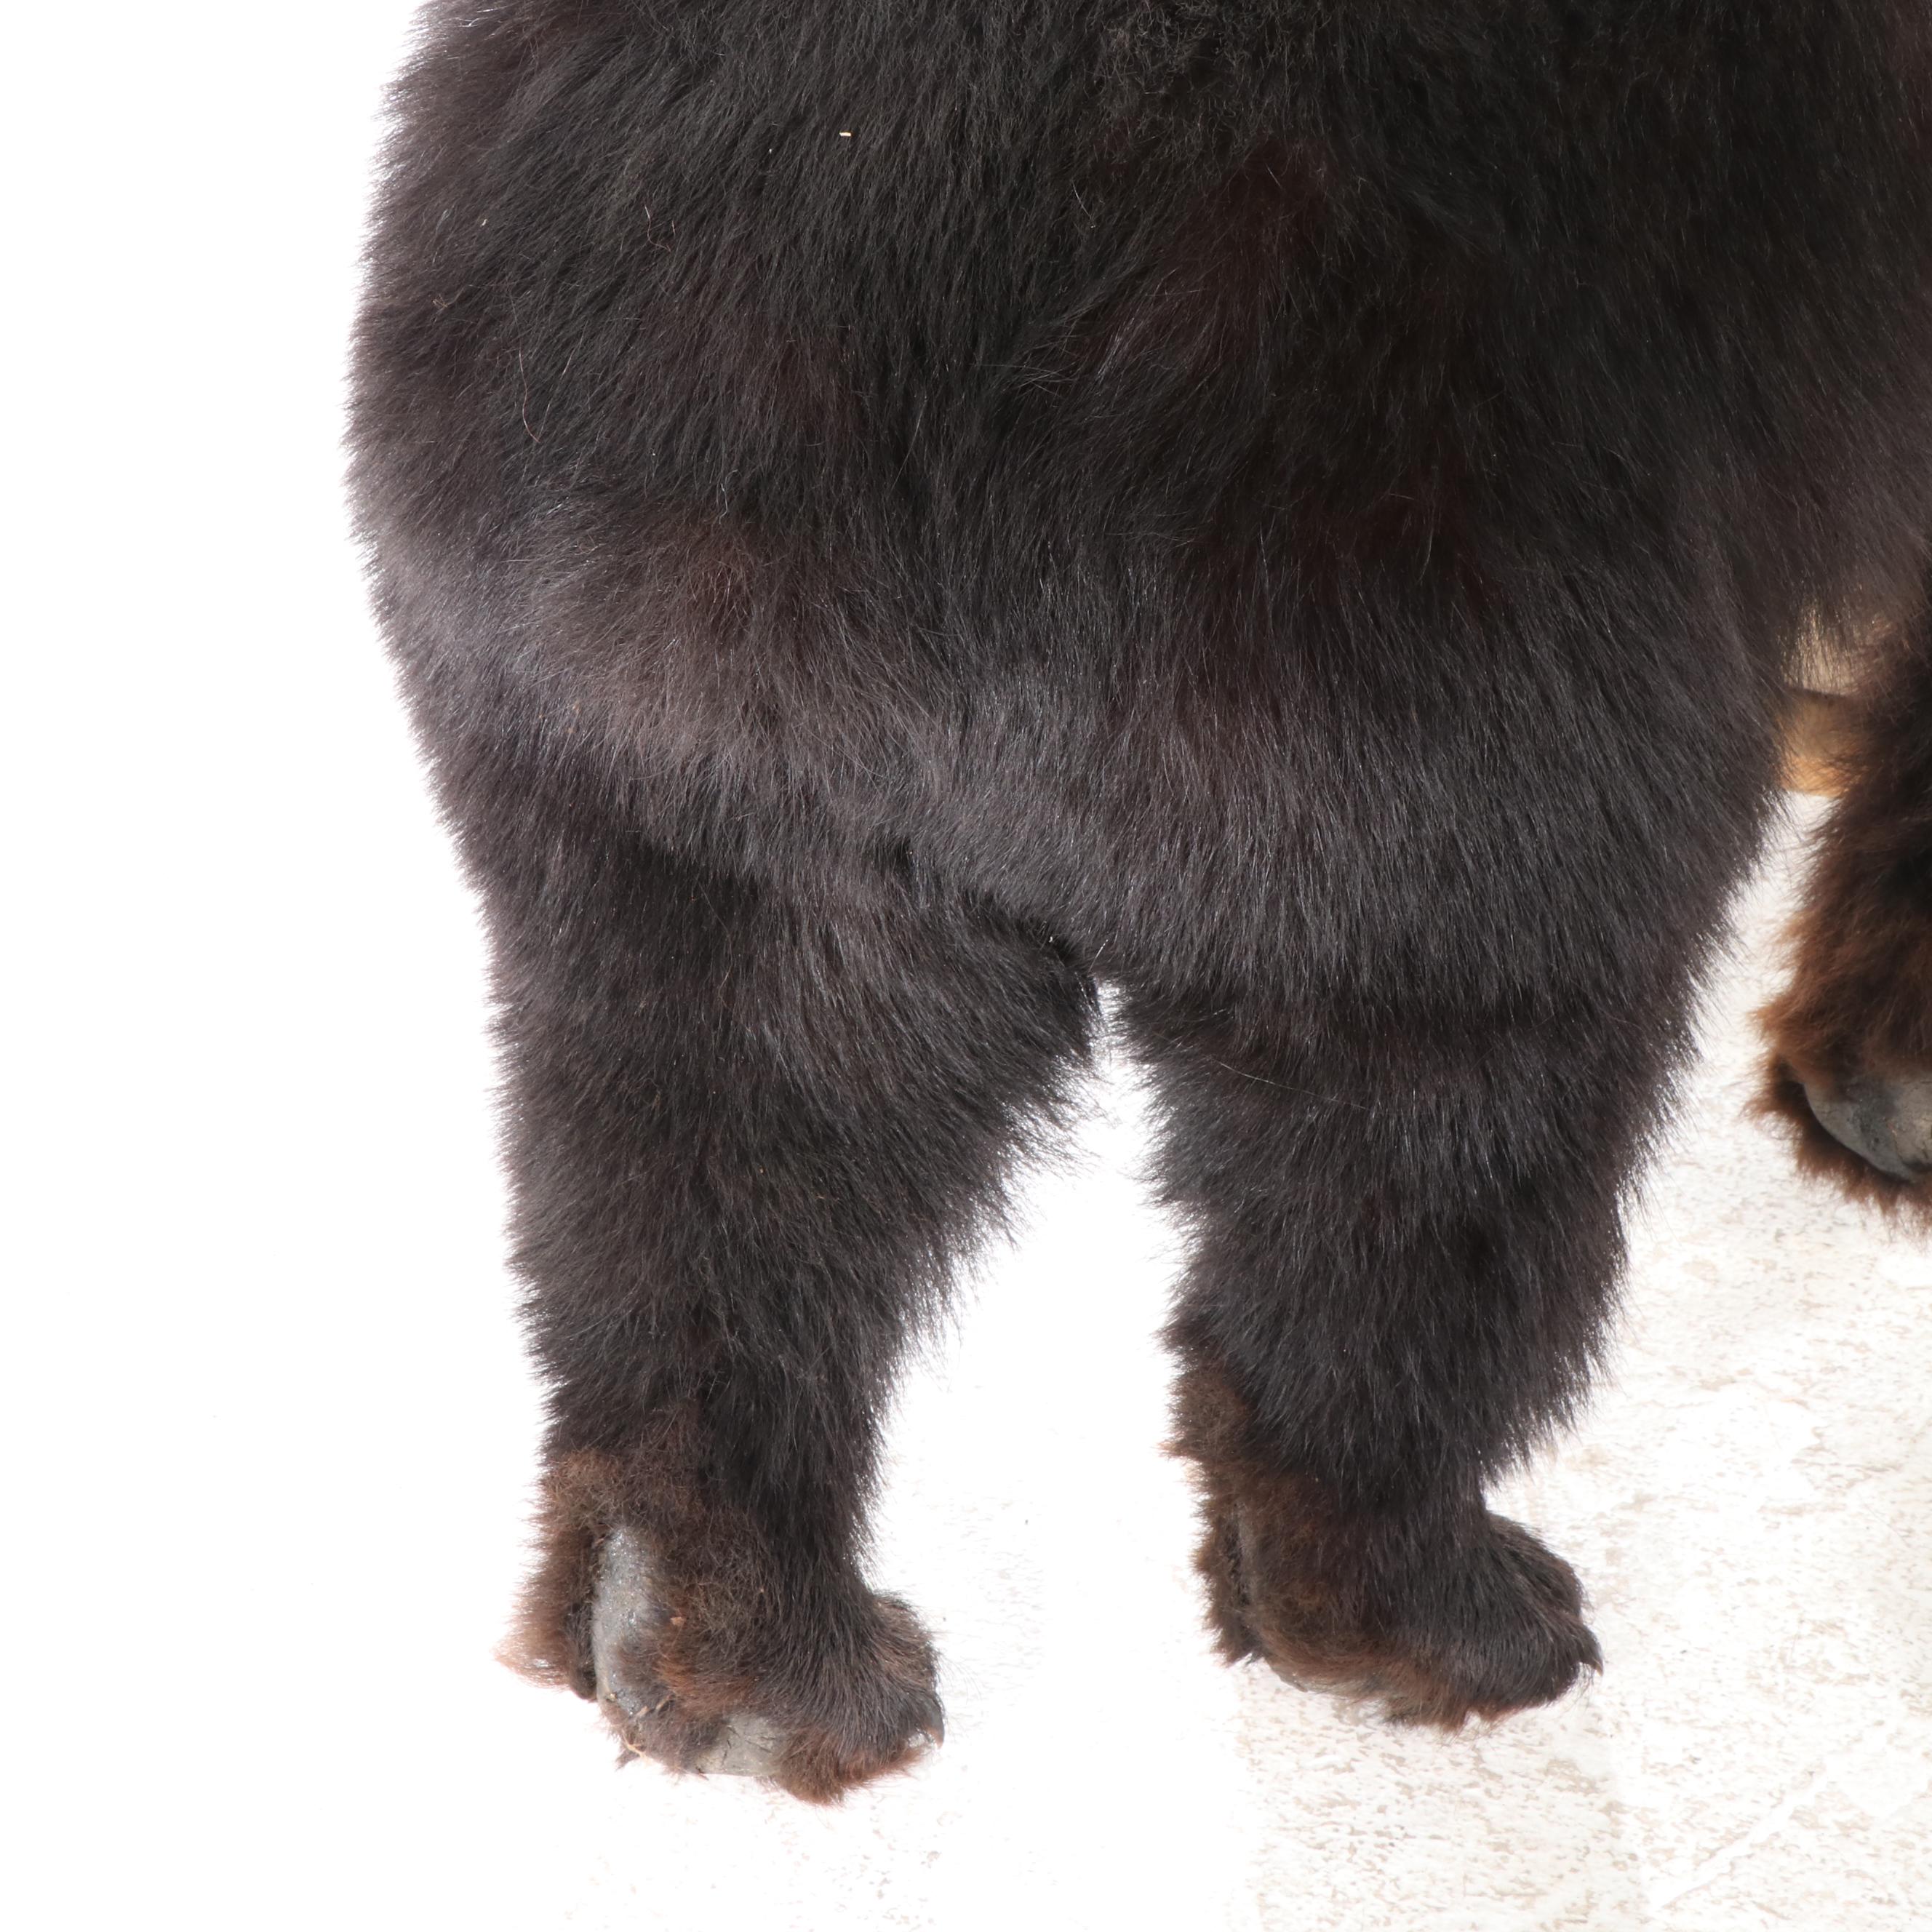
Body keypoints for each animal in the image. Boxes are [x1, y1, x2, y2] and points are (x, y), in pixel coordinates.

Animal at [349, 1, 1932, 1801]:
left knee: (722, 1123)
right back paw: (1414, 1592)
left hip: (645, 685)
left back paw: (723, 1630)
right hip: (1412, 590)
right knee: (1418, 1140)